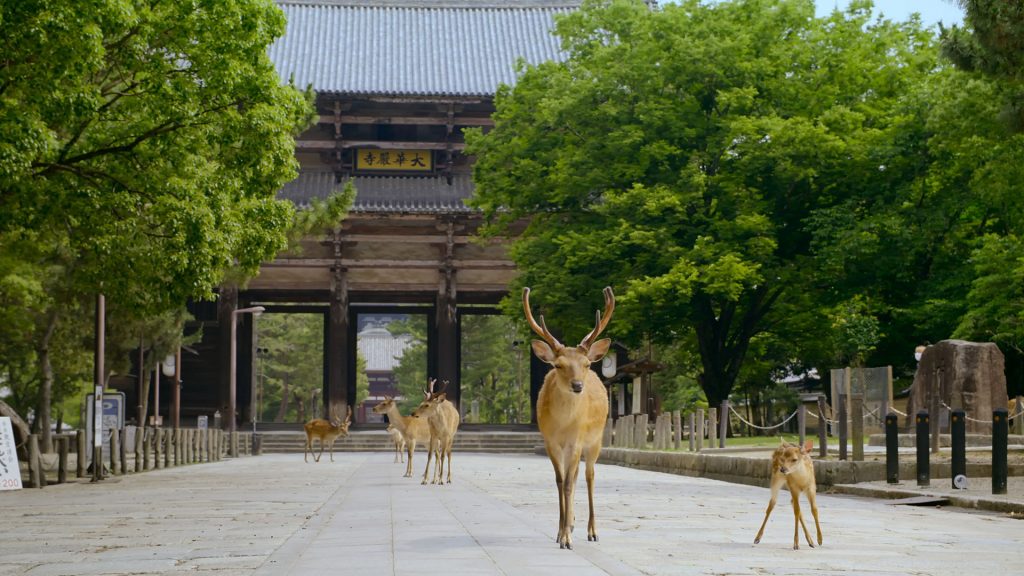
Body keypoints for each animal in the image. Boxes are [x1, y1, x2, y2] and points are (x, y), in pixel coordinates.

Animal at [524, 284, 610, 545]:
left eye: (586, 364)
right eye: (558, 365)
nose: (578, 385)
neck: (563, 425)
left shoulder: (576, 440)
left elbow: (570, 483)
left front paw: (566, 539)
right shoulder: (550, 441)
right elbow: (561, 481)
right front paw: (561, 531)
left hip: (595, 440)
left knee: (589, 475)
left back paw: (592, 531)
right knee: (576, 474)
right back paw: (571, 524)